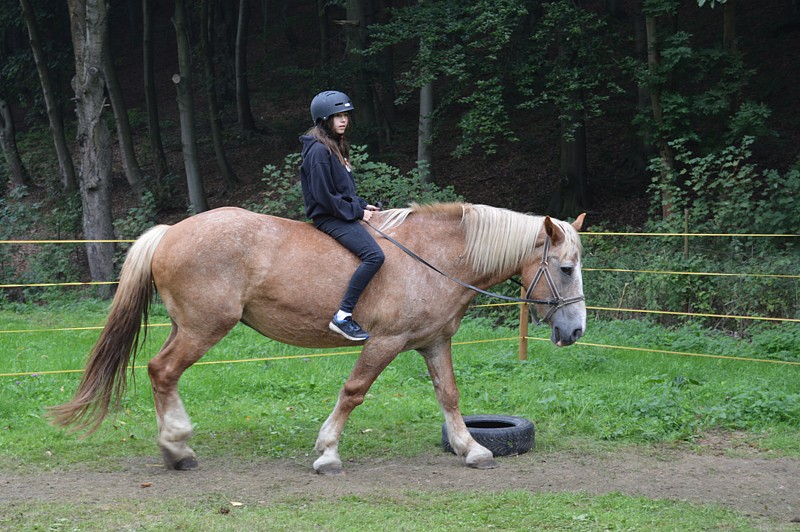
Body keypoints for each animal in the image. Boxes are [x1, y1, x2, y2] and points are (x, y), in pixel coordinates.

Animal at [51, 203, 588, 474]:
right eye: (565, 269)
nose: (575, 330)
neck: (432, 258)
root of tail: (170, 232)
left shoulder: (433, 341)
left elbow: (449, 395)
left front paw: (471, 448)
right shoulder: (384, 342)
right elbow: (353, 392)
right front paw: (328, 452)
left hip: (189, 327)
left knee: (161, 372)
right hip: (205, 328)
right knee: (162, 372)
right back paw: (177, 450)